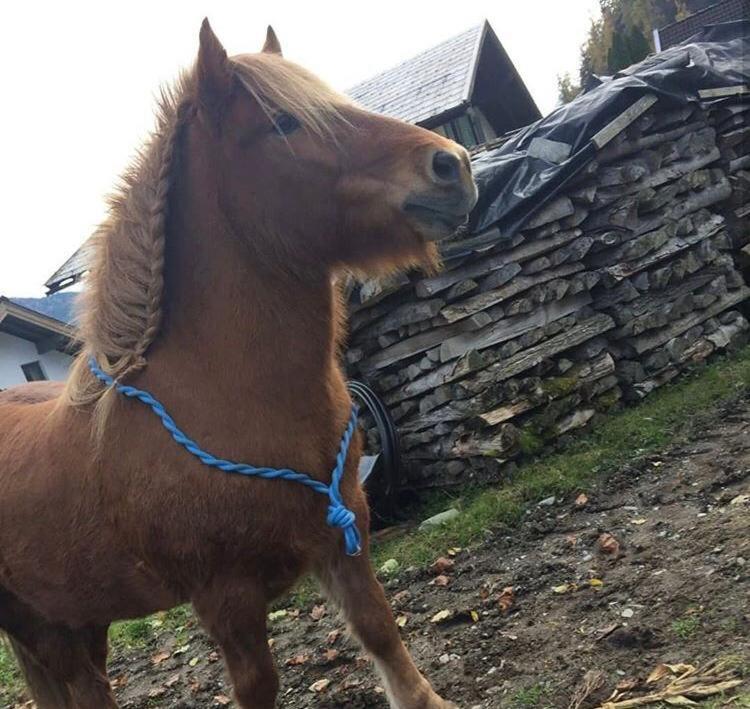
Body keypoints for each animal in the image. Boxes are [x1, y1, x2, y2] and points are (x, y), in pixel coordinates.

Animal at [0, 19, 478, 704]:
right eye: (283, 123)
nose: (451, 164)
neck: (226, 398)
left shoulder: (344, 537)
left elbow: (382, 633)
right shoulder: (225, 598)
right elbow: (258, 686)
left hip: (69, 613)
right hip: (43, 620)